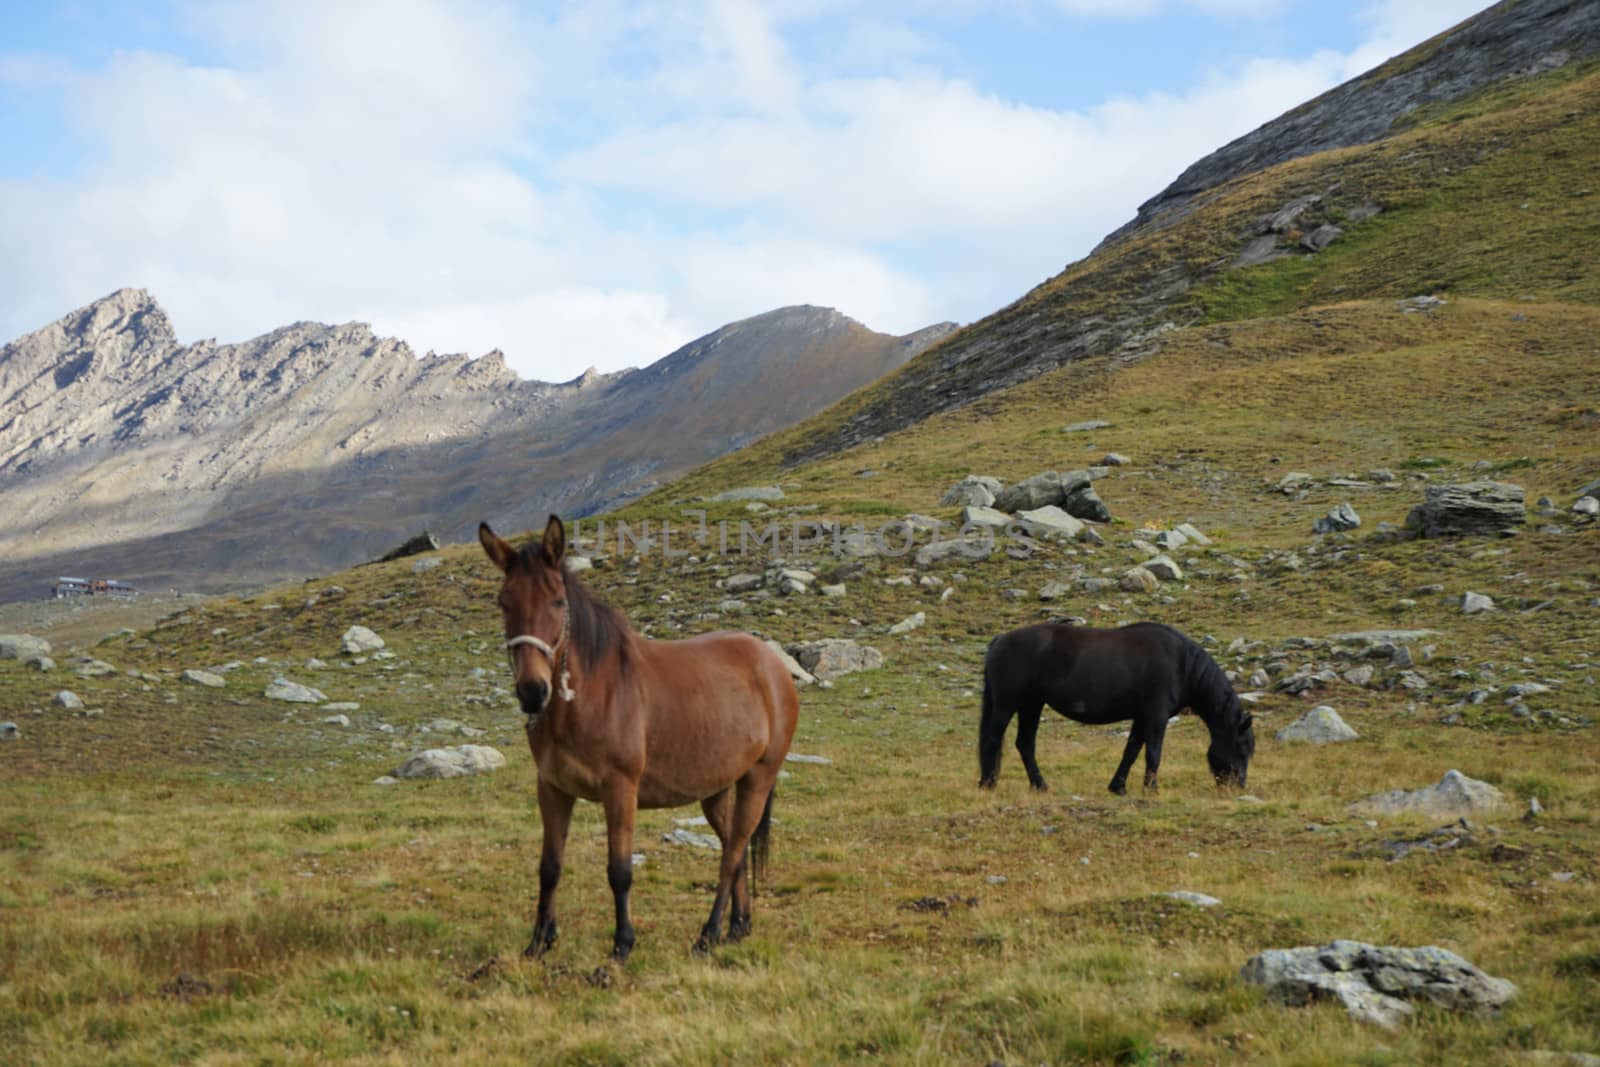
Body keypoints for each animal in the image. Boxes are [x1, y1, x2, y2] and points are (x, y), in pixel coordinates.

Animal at [473, 511, 800, 966]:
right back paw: (737, 927)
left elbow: (620, 870)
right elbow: (550, 866)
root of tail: (773, 662)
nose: (533, 692)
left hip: (759, 778)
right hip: (716, 790)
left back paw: (708, 934)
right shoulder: (553, 788)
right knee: (733, 849)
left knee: (733, 852)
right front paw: (539, 942)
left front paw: (621, 946)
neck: (593, 693)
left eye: (557, 602)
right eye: (504, 603)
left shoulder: (620, 788)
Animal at [972, 627, 1248, 793]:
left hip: (1031, 705)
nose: (1239, 786)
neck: (1181, 664)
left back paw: (1039, 785)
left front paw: (1118, 787)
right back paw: (988, 783)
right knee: (993, 740)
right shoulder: (1156, 718)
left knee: (1025, 744)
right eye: (1241, 747)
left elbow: (1131, 751)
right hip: (1007, 705)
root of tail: (1000, 640)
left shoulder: (1142, 718)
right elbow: (1153, 754)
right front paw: (1151, 790)